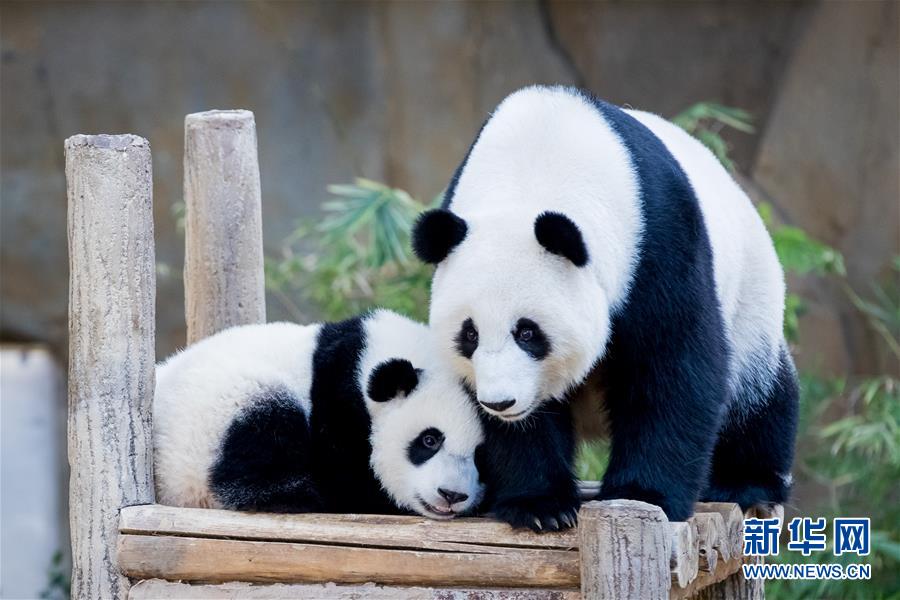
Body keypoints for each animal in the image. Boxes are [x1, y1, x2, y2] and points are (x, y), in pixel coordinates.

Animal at [154, 309, 484, 519]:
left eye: (481, 456)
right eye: (430, 440)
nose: (451, 495)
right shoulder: (338, 404)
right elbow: (351, 476)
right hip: (213, 419)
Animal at [412, 85, 799, 530]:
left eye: (528, 332)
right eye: (469, 335)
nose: (500, 402)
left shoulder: (656, 241)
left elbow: (672, 368)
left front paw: (644, 495)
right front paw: (541, 506)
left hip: (752, 291)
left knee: (756, 391)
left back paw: (747, 483)